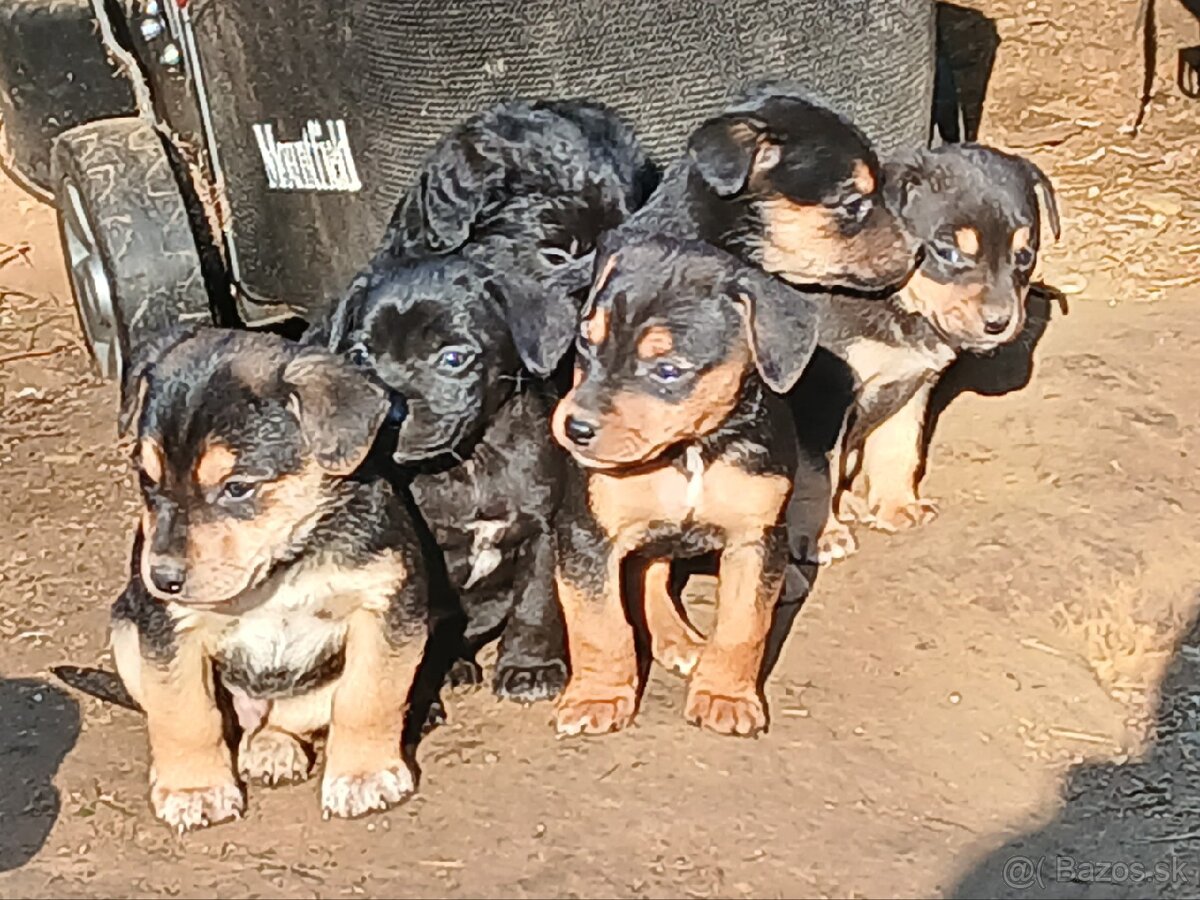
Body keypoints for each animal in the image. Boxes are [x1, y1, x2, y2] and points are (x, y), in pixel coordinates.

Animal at [110, 328, 439, 830]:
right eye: (147, 479)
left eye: (237, 487)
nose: (162, 578)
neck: (283, 564)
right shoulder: (167, 629)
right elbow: (184, 712)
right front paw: (194, 789)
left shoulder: (388, 603)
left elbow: (368, 697)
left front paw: (363, 775)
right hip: (125, 632)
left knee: (287, 716)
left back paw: (273, 748)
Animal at [542, 234, 816, 739]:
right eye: (586, 343)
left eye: (668, 370)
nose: (575, 428)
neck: (690, 450)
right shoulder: (586, 532)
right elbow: (600, 624)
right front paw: (597, 697)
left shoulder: (755, 537)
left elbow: (744, 624)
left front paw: (726, 697)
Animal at [806, 141, 1060, 564]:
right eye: (949, 253)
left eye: (1025, 255)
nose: (999, 322)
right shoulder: (822, 399)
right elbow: (817, 472)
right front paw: (822, 538)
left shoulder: (910, 386)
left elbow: (899, 449)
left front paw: (897, 507)